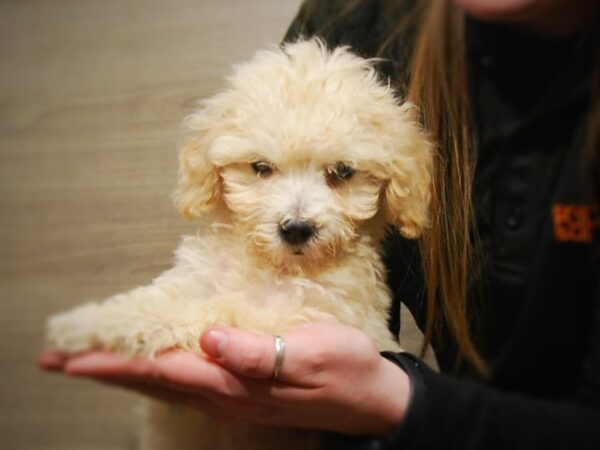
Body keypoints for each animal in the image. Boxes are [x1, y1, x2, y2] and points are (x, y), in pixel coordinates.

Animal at [45, 38, 432, 450]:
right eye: (260, 168)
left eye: (342, 172)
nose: (296, 228)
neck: (273, 266)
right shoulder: (196, 278)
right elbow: (160, 298)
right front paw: (100, 316)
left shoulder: (308, 315)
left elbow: (216, 311)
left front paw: (103, 326)